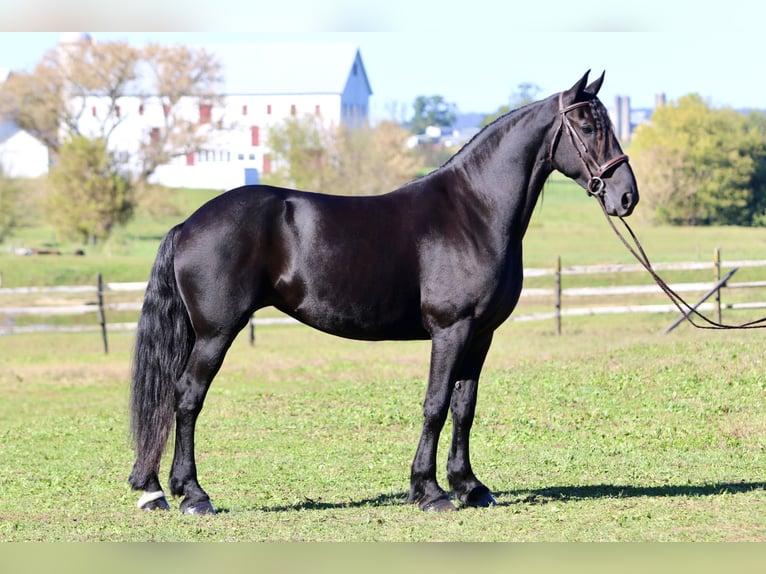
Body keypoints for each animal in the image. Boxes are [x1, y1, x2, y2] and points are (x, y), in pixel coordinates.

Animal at [129, 71, 638, 514]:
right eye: (588, 125)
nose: (626, 196)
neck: (474, 211)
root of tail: (187, 224)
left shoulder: (481, 334)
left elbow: (464, 407)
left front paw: (470, 487)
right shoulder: (451, 330)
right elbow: (435, 405)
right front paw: (429, 492)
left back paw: (155, 490)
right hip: (216, 333)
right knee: (187, 397)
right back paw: (193, 495)